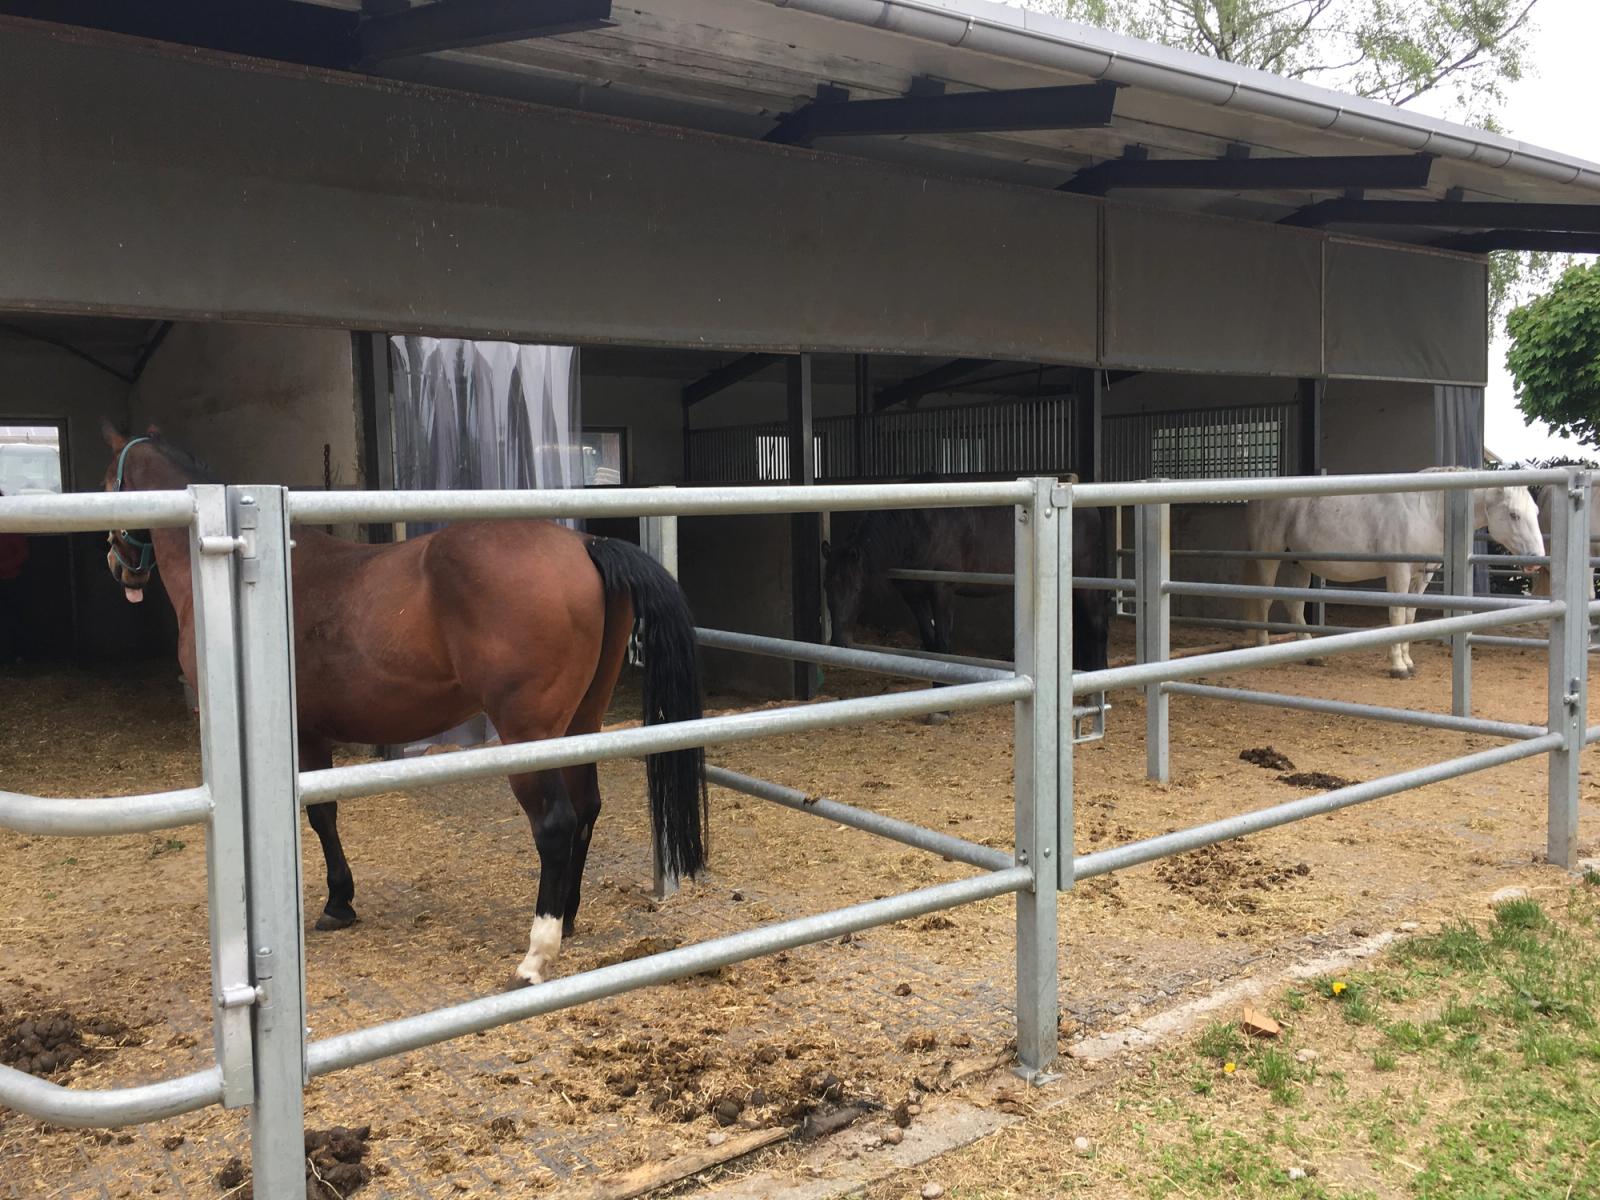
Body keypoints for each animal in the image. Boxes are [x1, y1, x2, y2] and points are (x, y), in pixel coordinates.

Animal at [100, 423, 706, 987]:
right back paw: (569, 918)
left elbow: (319, 816)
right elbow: (324, 812)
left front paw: (336, 902)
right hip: (581, 722)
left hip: (528, 735)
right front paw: (340, 901)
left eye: (108, 482)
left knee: (556, 823)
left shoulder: (298, 735)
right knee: (586, 808)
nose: (120, 566)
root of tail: (584, 546)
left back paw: (536, 955)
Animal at [822, 504, 1112, 673]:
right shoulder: (913, 595)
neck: (916, 527)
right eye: (827, 590)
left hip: (1084, 580)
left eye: (857, 589)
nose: (838, 642)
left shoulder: (941, 590)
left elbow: (942, 644)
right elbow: (930, 643)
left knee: (1097, 622)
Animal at [1243, 469, 1545, 678]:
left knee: (1294, 605)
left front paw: (1408, 662)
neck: (1426, 512)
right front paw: (1398, 667)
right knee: (1263, 601)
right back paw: (1262, 647)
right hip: (1269, 559)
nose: (1536, 560)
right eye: (1514, 514)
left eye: (1535, 511)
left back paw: (1311, 655)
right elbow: (1397, 616)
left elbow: (1410, 617)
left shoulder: (1421, 577)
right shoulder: (1398, 574)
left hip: (1299, 564)